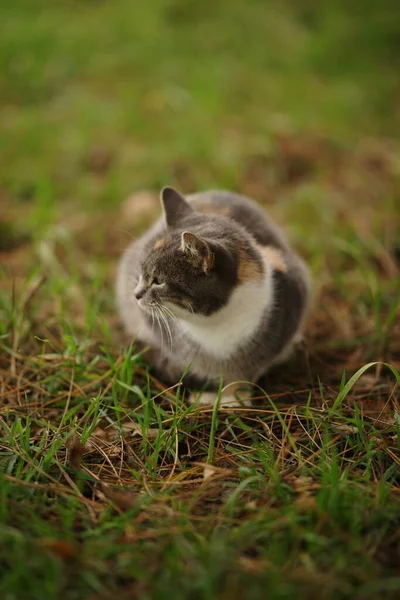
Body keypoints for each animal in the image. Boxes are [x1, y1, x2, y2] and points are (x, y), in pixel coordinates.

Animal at [114, 185, 310, 406]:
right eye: (141, 272)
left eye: (158, 280)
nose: (136, 294)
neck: (215, 322)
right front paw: (209, 395)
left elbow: (247, 371)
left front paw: (234, 397)